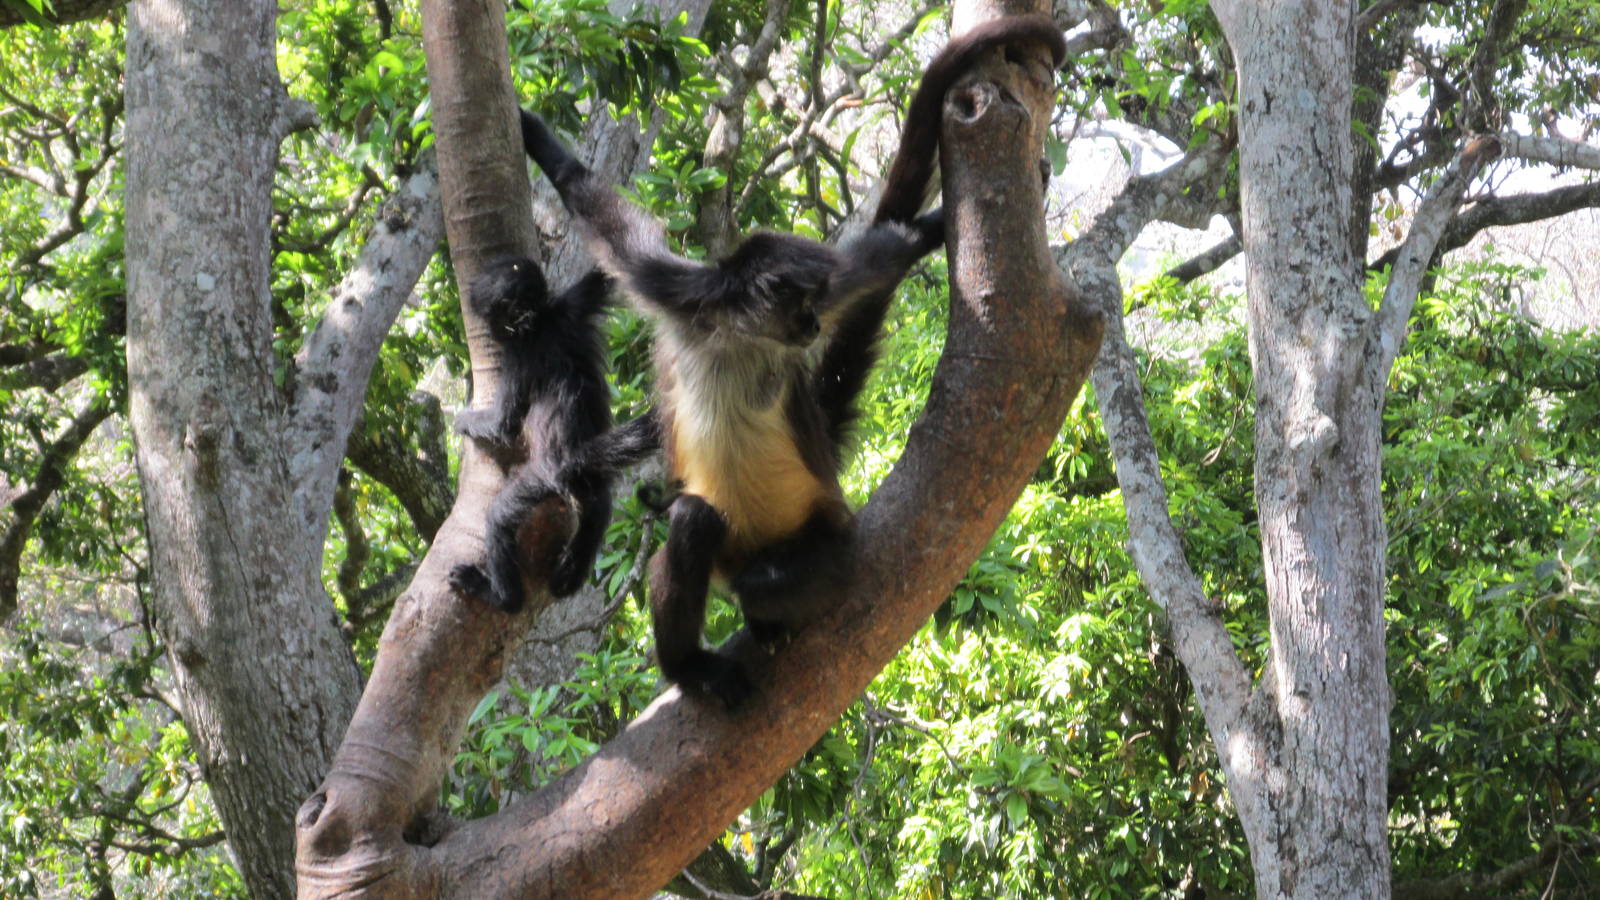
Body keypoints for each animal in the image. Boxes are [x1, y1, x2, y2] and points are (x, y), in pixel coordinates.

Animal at [447, 256, 660, 612]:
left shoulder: (518, 353)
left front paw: (462, 420)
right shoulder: (569, 306)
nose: (495, 330)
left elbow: (504, 425)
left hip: (544, 477)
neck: (541, 320)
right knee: (599, 510)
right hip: (587, 487)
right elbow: (607, 275)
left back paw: (501, 597)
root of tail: (577, 453)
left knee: (500, 516)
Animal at [520, 14, 1067, 705]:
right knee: (696, 522)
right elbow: (603, 216)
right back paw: (688, 663)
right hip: (726, 545)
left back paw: (756, 614)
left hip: (829, 544)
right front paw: (534, 133)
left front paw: (934, 224)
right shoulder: (680, 293)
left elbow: (883, 256)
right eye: (800, 304)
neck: (741, 338)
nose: (810, 324)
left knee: (758, 571)